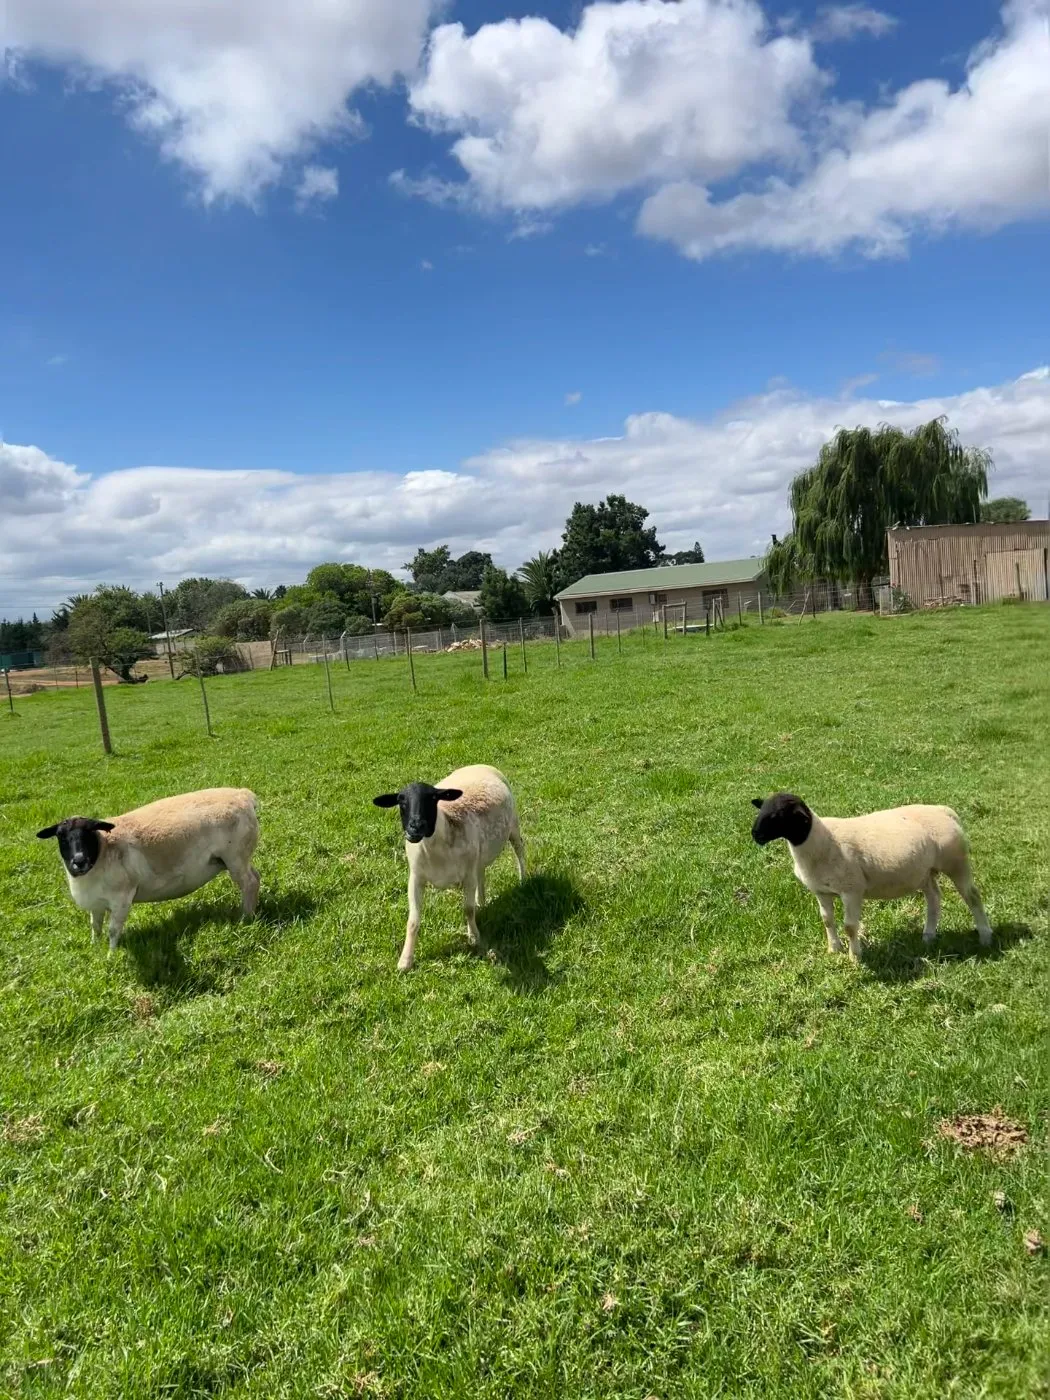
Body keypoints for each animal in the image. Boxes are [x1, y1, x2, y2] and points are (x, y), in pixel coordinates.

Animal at [37, 788, 260, 951]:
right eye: (61, 836)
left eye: (90, 833)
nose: (79, 860)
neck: (103, 851)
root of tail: (245, 796)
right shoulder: (96, 903)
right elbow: (96, 927)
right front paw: (94, 950)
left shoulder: (122, 898)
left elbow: (113, 930)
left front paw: (111, 955)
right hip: (235, 858)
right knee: (255, 877)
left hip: (235, 855)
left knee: (249, 883)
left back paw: (246, 918)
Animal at [373, 764, 525, 971]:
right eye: (401, 802)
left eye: (433, 799)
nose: (415, 828)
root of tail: (479, 764)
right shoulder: (416, 878)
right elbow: (413, 921)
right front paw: (405, 961)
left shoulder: (468, 875)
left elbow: (468, 910)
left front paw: (474, 937)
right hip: (479, 853)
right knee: (482, 872)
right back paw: (482, 901)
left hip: (513, 826)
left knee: (520, 851)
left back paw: (524, 880)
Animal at [750, 792, 992, 962]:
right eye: (762, 810)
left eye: (778, 816)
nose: (755, 834)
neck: (822, 841)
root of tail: (946, 811)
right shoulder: (821, 891)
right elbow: (827, 920)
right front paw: (833, 949)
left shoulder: (851, 890)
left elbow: (850, 926)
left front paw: (855, 957)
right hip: (924, 871)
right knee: (934, 898)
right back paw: (928, 936)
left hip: (956, 862)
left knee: (972, 896)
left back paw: (985, 936)